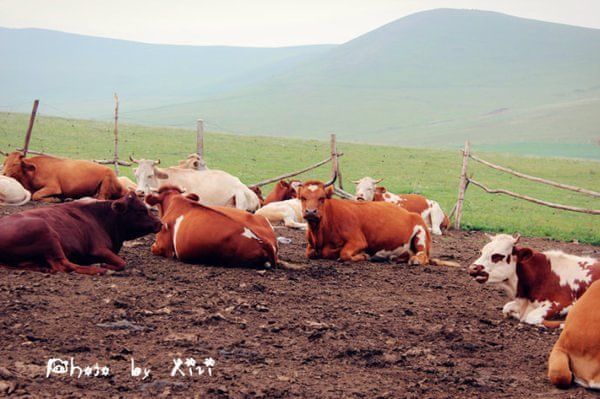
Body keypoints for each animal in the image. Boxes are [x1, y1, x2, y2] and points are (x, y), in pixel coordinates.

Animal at [0, 191, 162, 276]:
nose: (159, 223)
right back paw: (97, 269)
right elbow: (121, 262)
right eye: (141, 210)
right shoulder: (98, 249)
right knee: (65, 265)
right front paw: (105, 266)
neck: (102, 218)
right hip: (47, 234)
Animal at [298, 177, 458, 268]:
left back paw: (415, 260)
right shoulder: (311, 246)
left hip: (421, 234)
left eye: (322, 198)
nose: (311, 212)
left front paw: (363, 256)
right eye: (302, 197)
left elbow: (344, 254)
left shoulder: (358, 241)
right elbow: (310, 253)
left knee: (423, 255)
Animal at [468, 234, 600, 328]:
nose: (472, 268)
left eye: (498, 256)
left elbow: (532, 317)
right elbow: (506, 308)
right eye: (482, 252)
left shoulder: (564, 303)